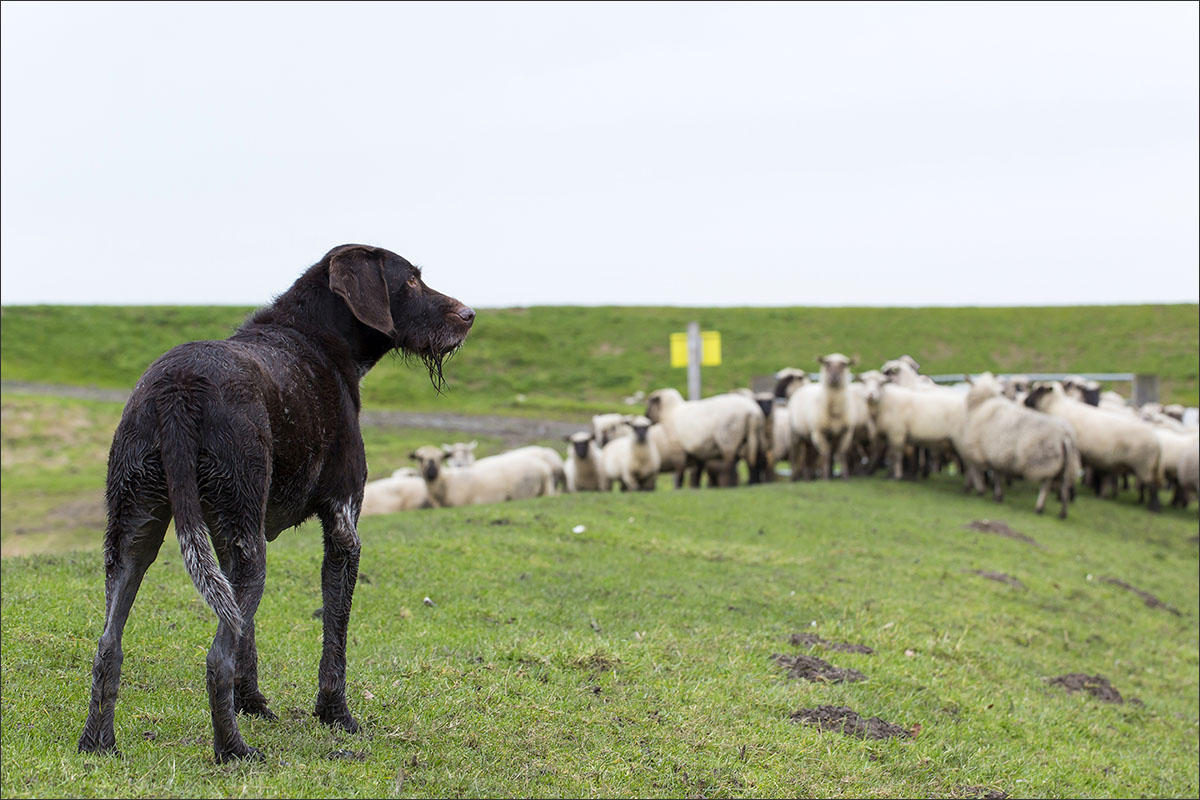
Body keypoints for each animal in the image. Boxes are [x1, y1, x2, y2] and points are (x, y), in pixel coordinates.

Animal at [77, 244, 472, 762]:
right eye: (410, 281)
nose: (469, 316)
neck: (317, 335)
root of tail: (177, 388)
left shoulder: (231, 540)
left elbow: (249, 641)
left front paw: (252, 704)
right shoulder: (343, 528)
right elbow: (334, 640)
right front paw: (335, 715)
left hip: (134, 537)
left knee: (108, 645)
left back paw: (97, 743)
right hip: (245, 553)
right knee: (216, 658)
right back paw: (234, 752)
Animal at [408, 443, 556, 506]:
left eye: (440, 458)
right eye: (420, 458)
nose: (431, 472)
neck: (446, 481)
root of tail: (544, 468)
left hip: (524, 492)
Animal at [960, 371, 1084, 515]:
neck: (982, 404)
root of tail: (1066, 434)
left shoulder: (981, 453)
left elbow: (986, 475)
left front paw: (986, 493)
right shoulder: (997, 456)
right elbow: (997, 475)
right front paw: (997, 495)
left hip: (1046, 464)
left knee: (1046, 486)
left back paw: (1039, 507)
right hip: (1068, 466)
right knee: (1064, 487)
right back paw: (1062, 512)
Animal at [1022, 383, 1161, 513]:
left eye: (1039, 390)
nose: (1025, 401)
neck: (1055, 406)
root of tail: (1156, 439)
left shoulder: (1073, 452)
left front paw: (1069, 495)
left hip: (1143, 465)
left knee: (1152, 486)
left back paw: (1153, 507)